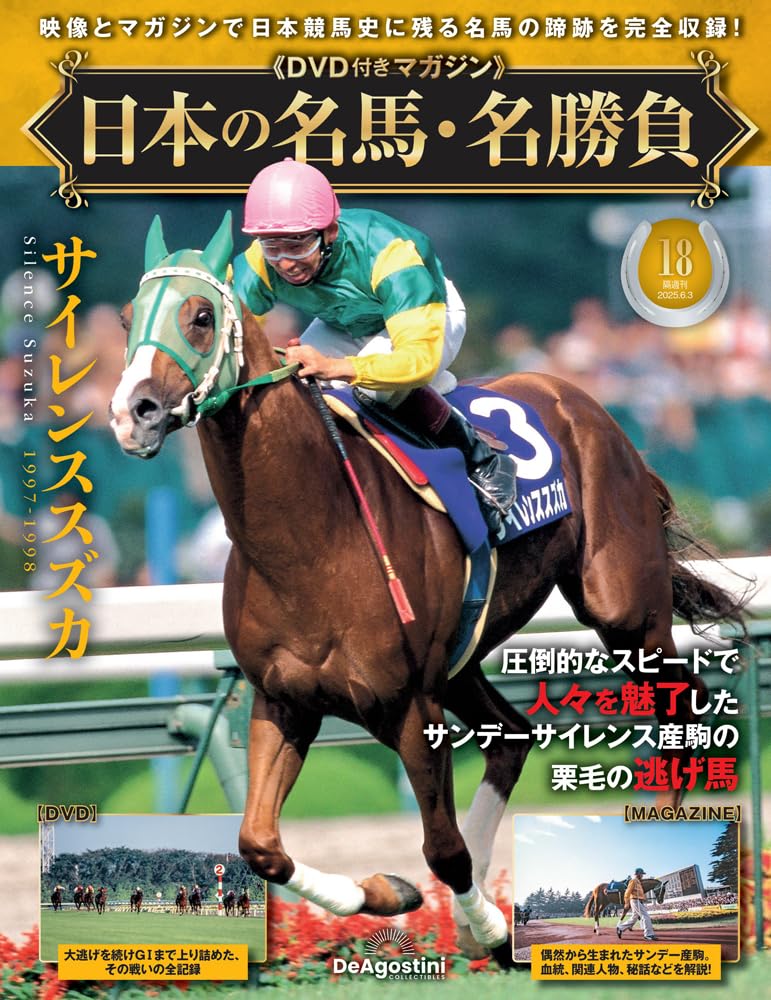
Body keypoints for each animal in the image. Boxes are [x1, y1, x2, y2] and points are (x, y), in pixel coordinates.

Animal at [109, 214, 746, 969]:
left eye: (202, 317)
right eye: (127, 320)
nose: (133, 412)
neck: (311, 539)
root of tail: (587, 405)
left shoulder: (411, 706)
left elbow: (442, 849)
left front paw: (492, 929)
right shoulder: (282, 700)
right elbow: (259, 844)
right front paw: (385, 894)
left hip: (623, 612)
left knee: (684, 714)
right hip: (465, 655)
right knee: (513, 734)